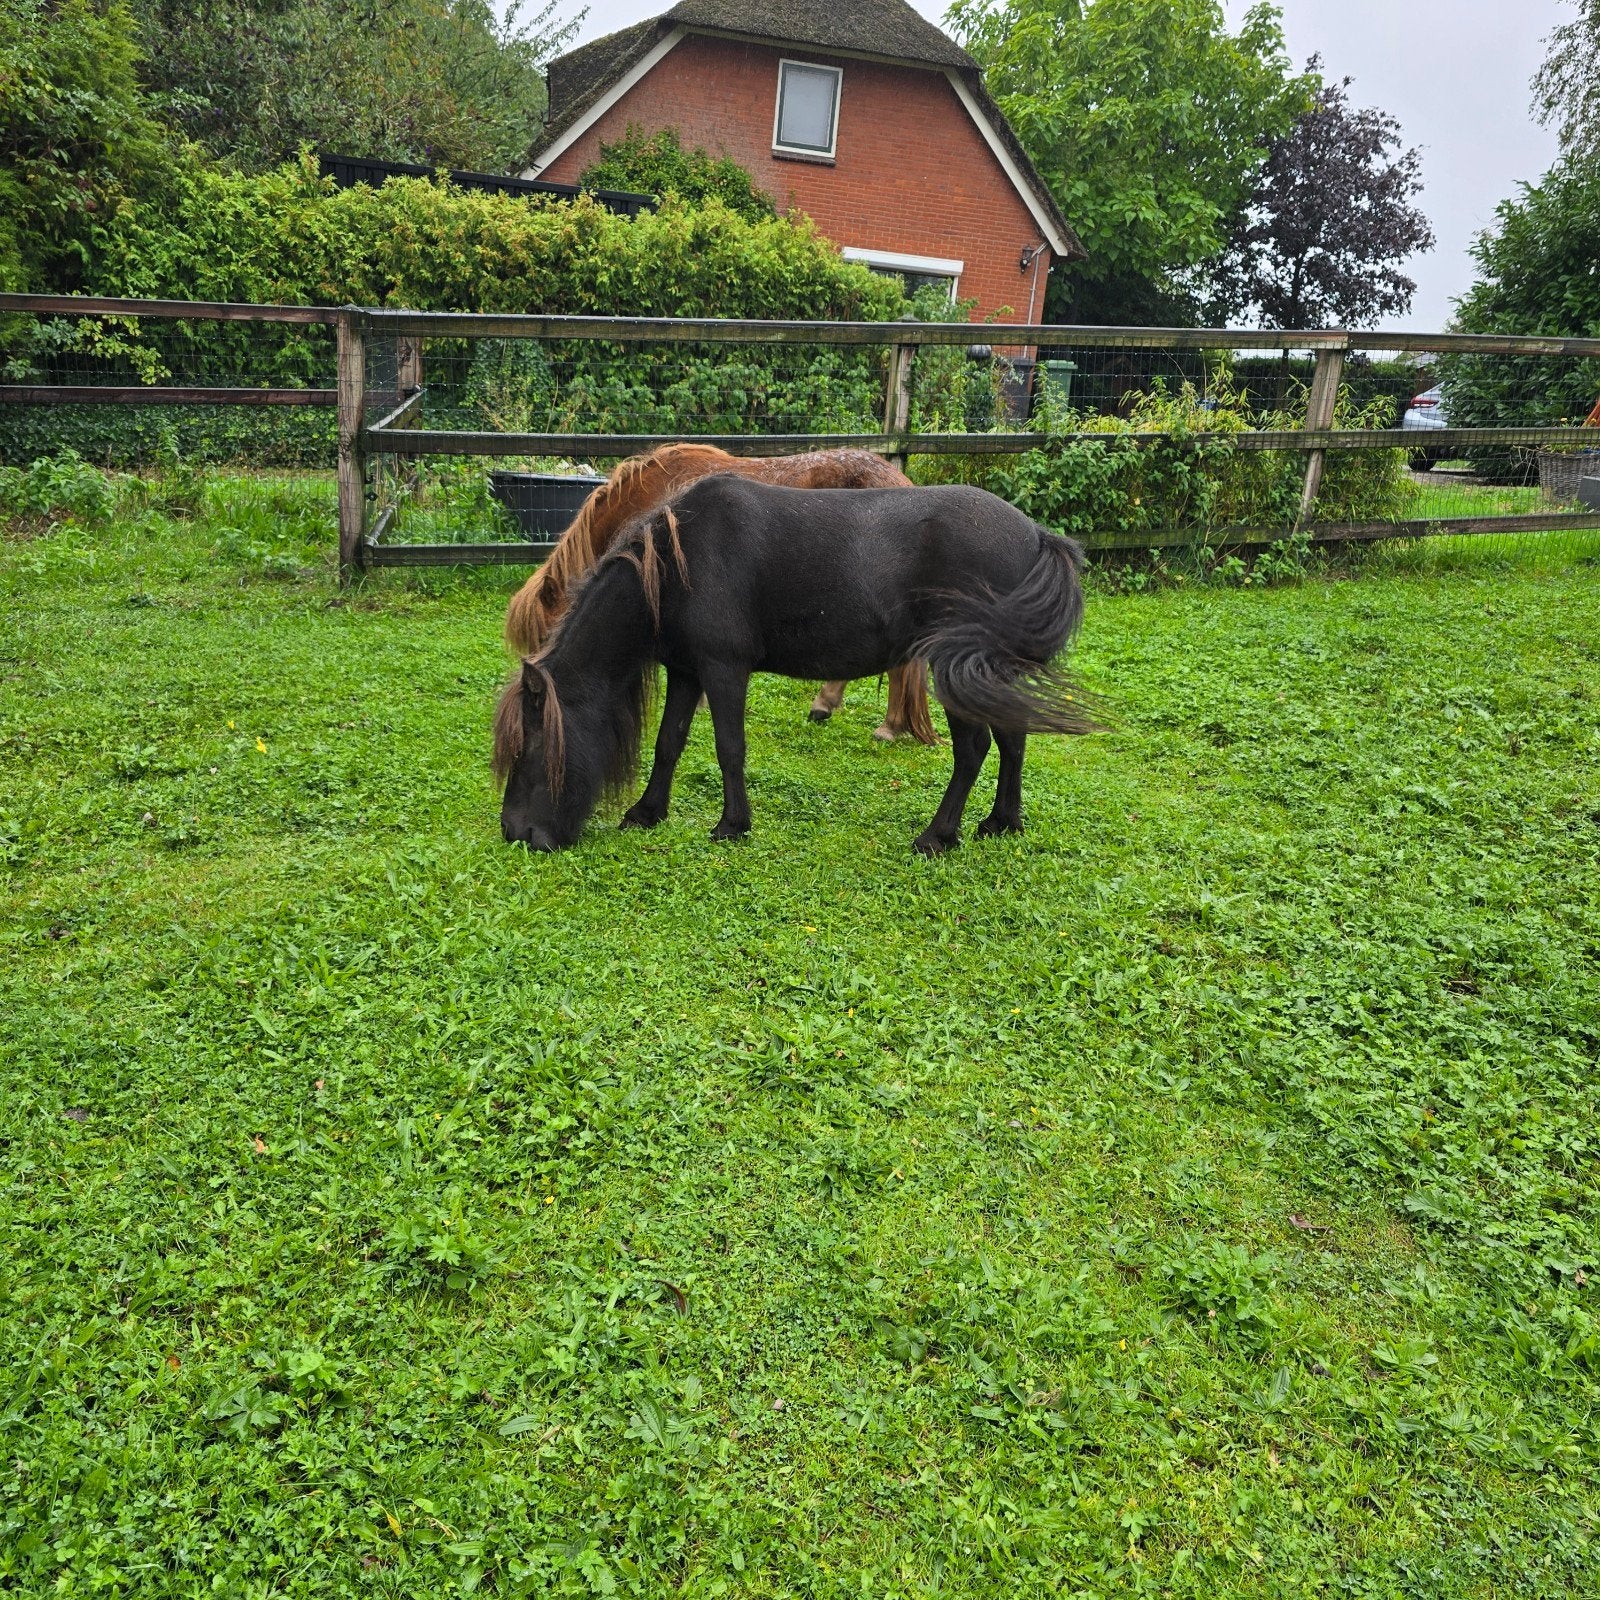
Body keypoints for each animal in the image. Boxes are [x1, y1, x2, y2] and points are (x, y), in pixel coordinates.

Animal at [494, 476, 1093, 856]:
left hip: (955, 668)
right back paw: (1002, 822)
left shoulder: (723, 669)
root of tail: (1036, 536)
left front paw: (732, 825)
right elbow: (670, 743)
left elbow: (728, 748)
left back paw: (938, 836)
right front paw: (648, 811)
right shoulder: (687, 671)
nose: (516, 832)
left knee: (973, 750)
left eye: (531, 748)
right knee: (1012, 738)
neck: (675, 564)